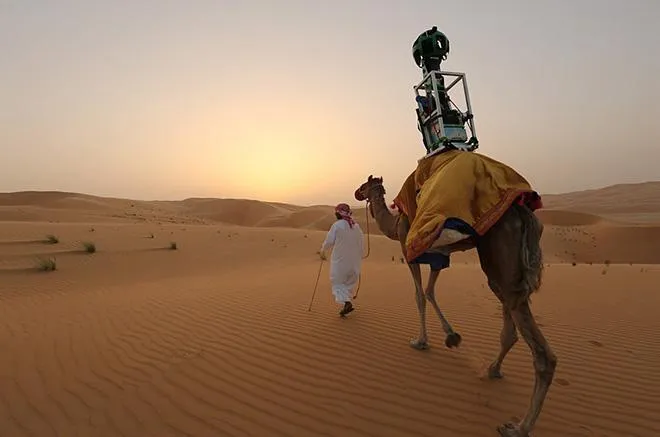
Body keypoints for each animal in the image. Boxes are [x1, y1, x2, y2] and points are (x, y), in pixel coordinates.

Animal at [356, 175, 556, 436]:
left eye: (364, 185)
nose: (357, 192)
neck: (395, 223)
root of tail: (524, 215)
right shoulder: (438, 258)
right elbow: (430, 291)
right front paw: (451, 336)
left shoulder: (409, 252)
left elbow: (419, 295)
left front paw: (420, 341)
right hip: (507, 276)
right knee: (510, 328)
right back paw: (493, 370)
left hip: (500, 261)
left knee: (542, 354)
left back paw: (518, 428)